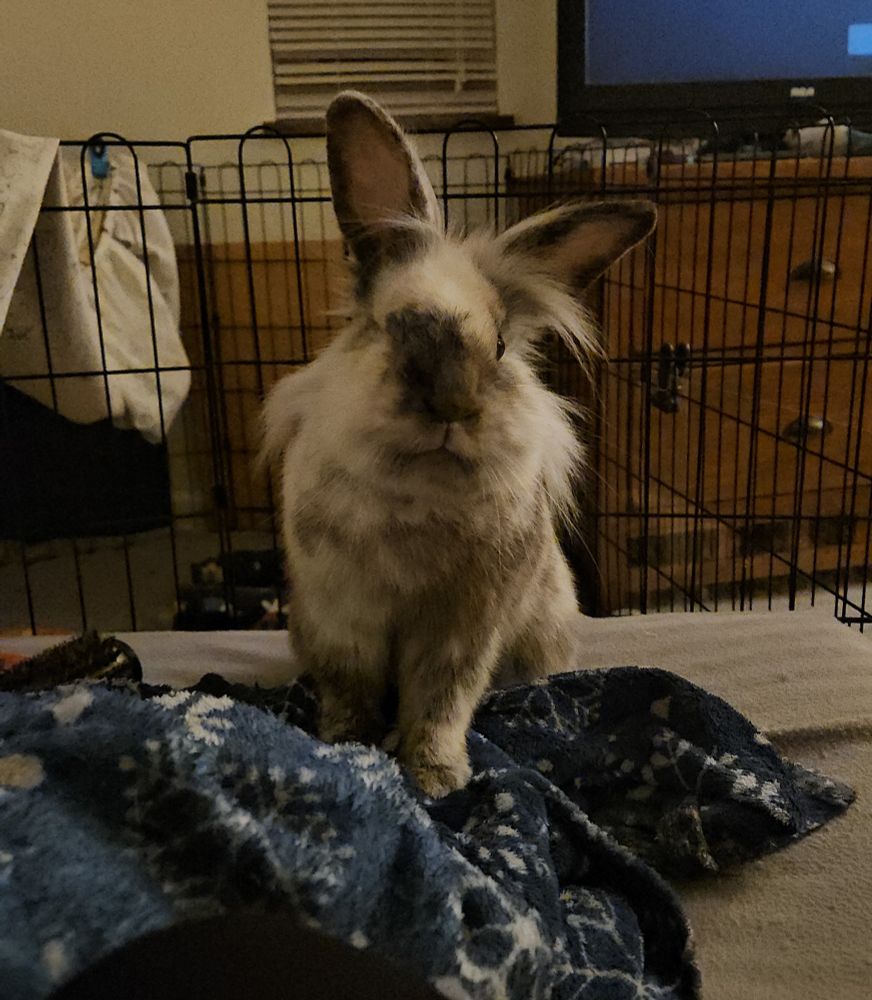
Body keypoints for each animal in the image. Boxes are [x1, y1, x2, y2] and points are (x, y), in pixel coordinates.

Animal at [262, 92, 656, 797]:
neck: (419, 495)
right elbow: (350, 690)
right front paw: (345, 745)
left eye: (498, 345)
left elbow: (440, 702)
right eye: (393, 325)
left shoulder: (462, 631)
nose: (452, 405)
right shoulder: (340, 620)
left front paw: (436, 777)